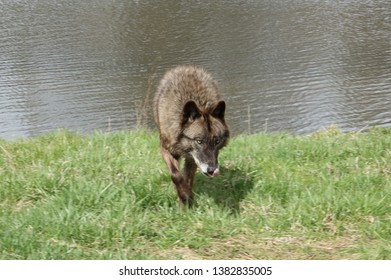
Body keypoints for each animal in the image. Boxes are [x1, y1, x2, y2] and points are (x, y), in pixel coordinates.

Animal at [154, 65, 230, 206]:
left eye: (217, 141)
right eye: (199, 141)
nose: (212, 170)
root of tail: (187, 68)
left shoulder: (192, 158)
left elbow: (188, 179)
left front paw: (187, 200)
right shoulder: (166, 149)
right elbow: (176, 175)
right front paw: (183, 197)